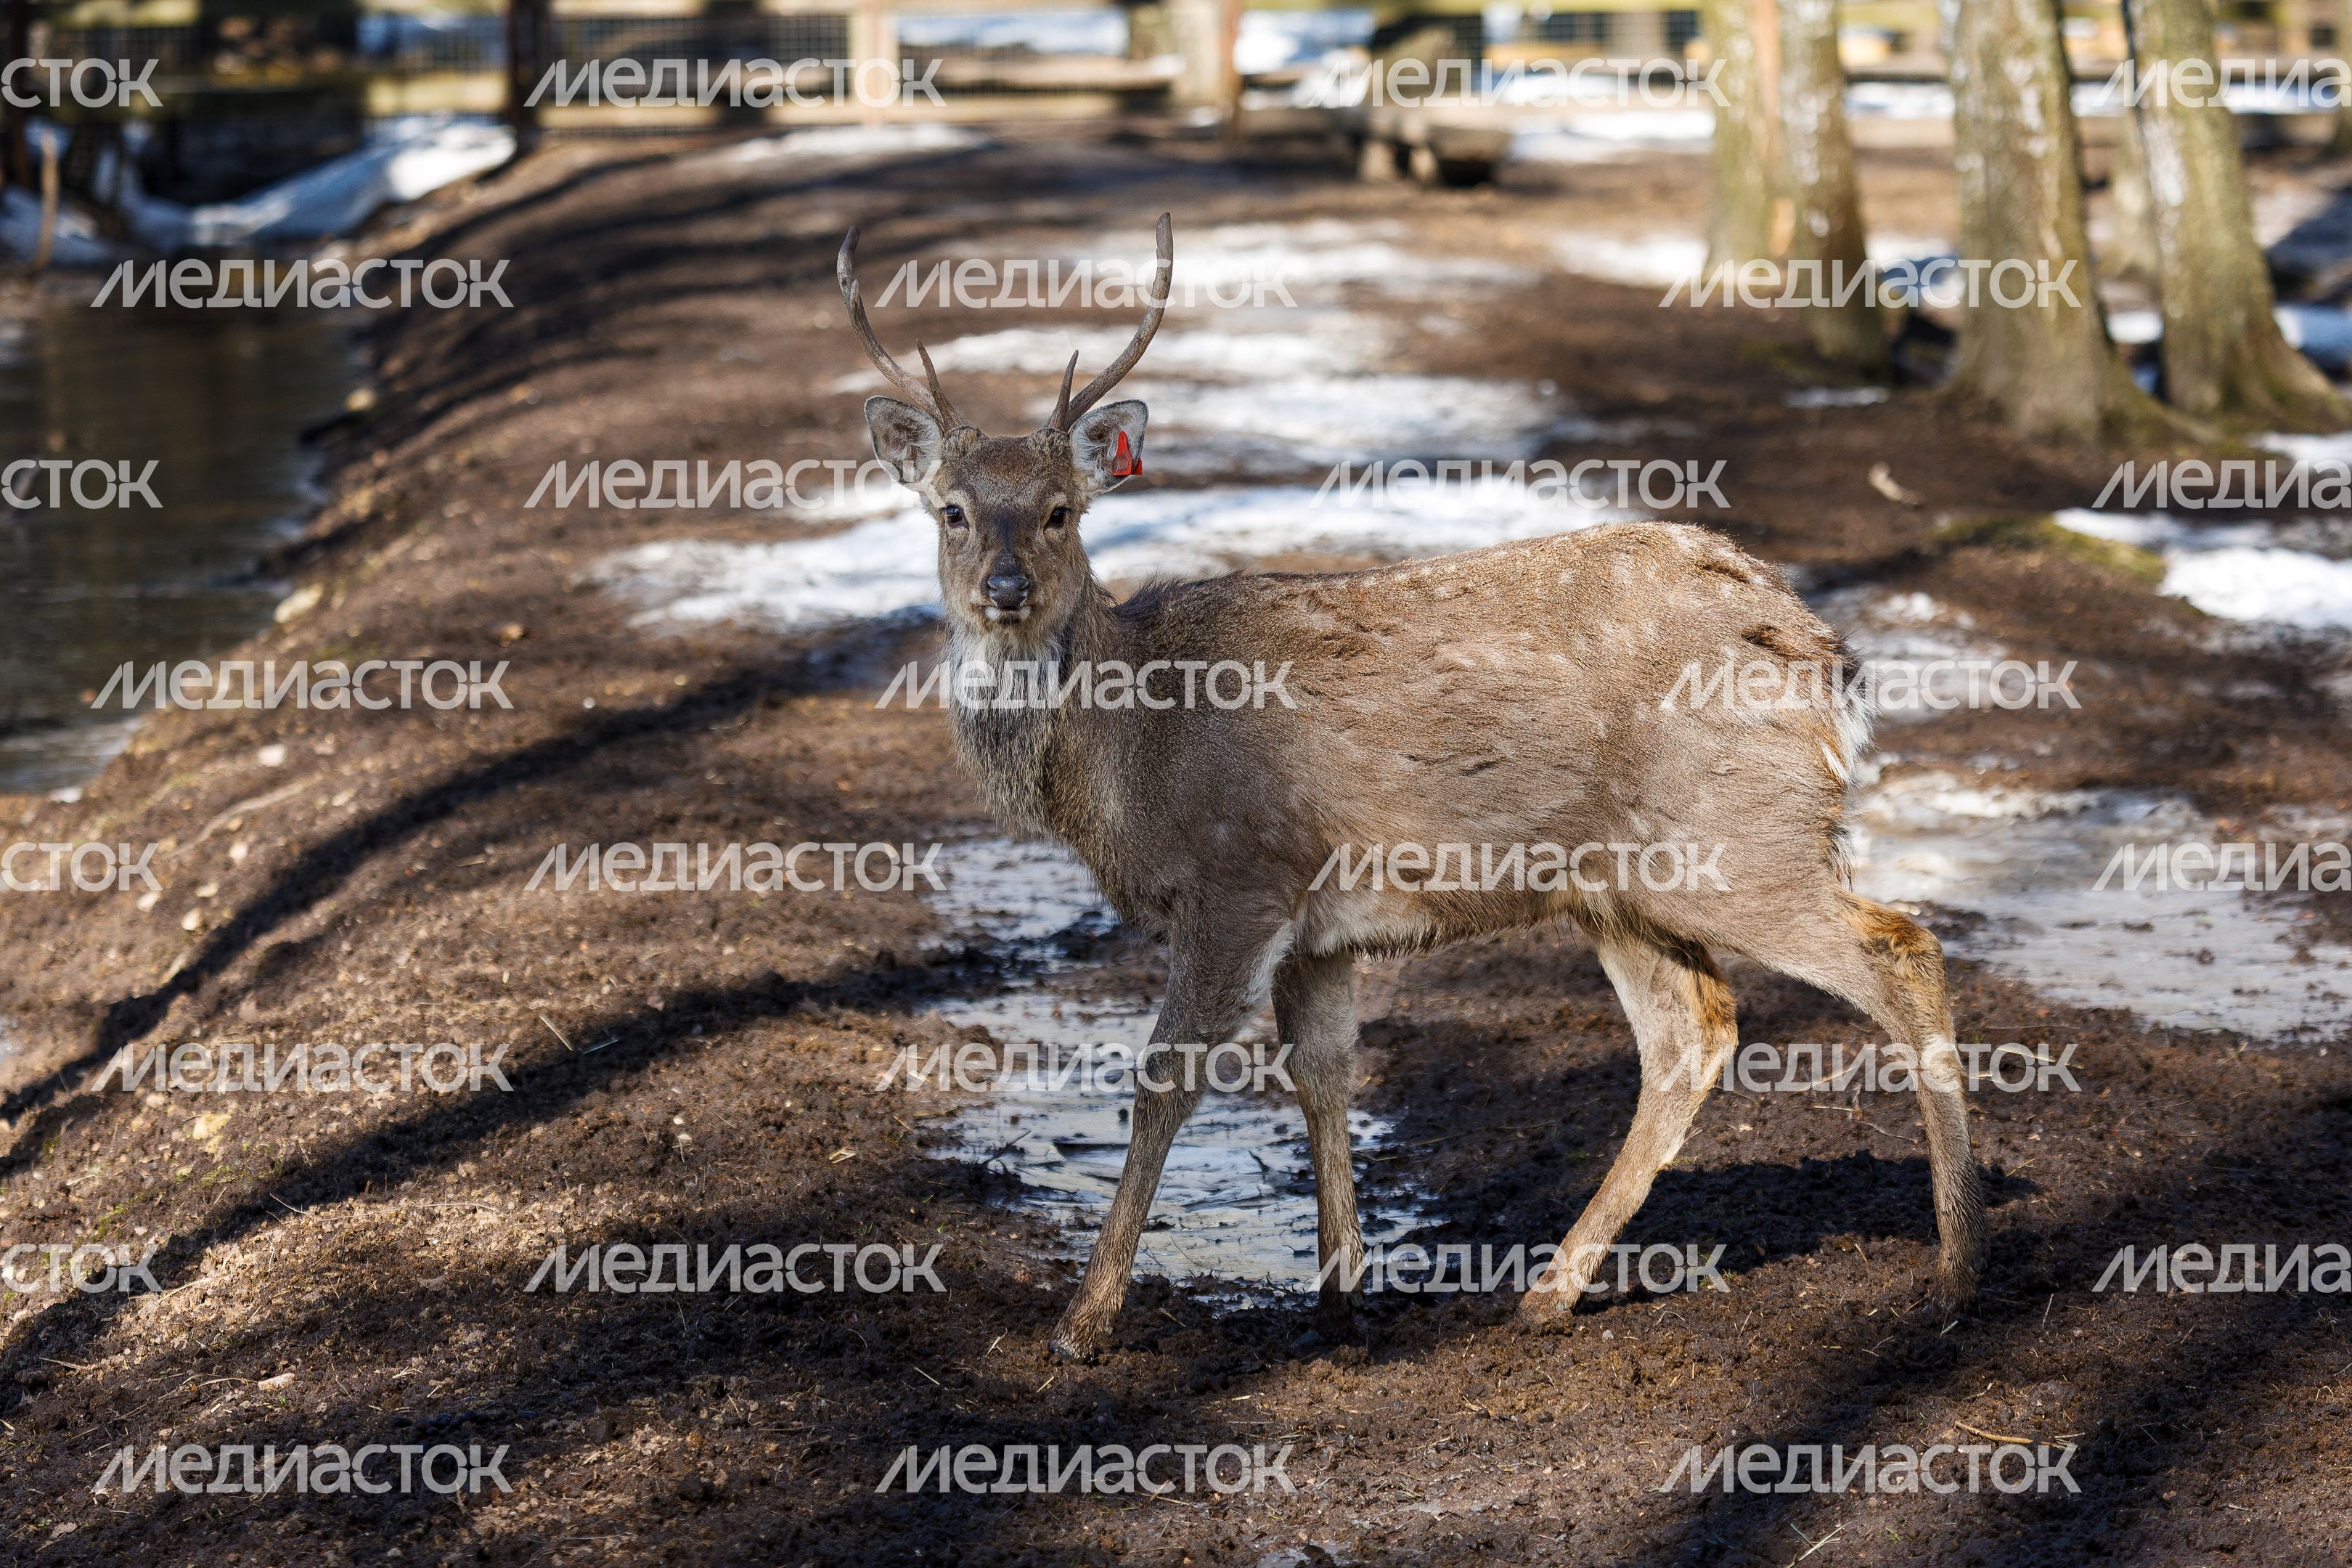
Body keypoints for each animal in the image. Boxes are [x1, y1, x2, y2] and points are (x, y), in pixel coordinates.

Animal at [838, 214, 1986, 1364]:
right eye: (950, 511)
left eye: (1061, 513)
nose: (1005, 590)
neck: (1133, 755)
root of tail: (1826, 657)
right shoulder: (1315, 928)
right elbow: (1323, 1073)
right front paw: (1340, 1303)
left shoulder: (1238, 873)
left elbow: (1165, 1079)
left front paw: (1083, 1322)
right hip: (1622, 885)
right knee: (1692, 1031)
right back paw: (1546, 1293)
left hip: (1739, 835)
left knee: (1901, 950)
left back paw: (1955, 1271)